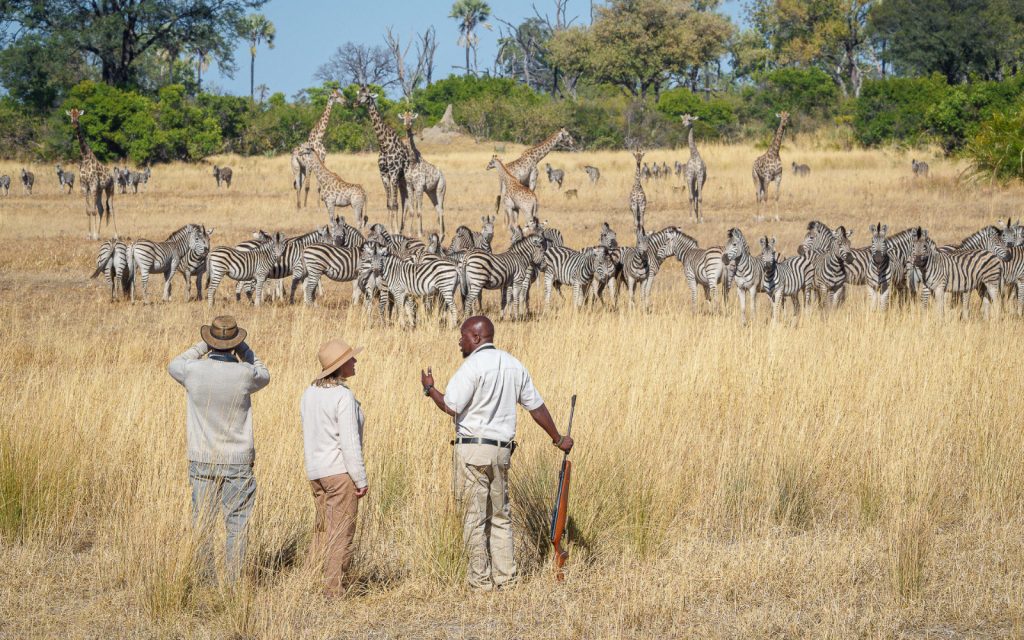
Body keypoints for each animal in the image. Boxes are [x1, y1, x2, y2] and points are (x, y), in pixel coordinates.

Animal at [66, 108, 115, 240]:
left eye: (78, 116)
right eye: (70, 116)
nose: (74, 124)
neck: (85, 157)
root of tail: (112, 175)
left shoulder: (92, 186)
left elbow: (93, 211)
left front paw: (93, 235)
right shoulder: (84, 187)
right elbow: (88, 211)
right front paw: (89, 235)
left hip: (109, 189)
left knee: (111, 208)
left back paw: (115, 235)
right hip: (99, 190)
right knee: (102, 209)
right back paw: (99, 234)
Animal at [355, 85, 410, 233]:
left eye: (367, 95)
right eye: (358, 93)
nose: (355, 103)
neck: (384, 145)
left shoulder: (394, 173)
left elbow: (394, 204)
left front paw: (395, 231)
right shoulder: (384, 174)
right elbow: (389, 203)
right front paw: (389, 229)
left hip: (407, 178)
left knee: (409, 201)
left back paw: (409, 229)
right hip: (401, 180)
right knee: (405, 200)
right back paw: (403, 228)